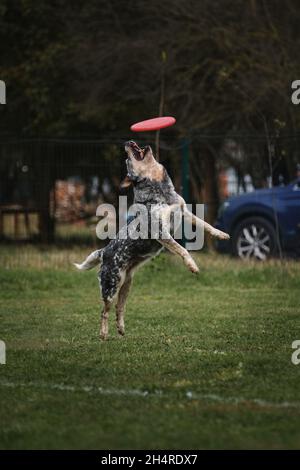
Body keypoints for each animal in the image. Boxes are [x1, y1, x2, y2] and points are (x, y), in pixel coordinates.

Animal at [75, 141, 230, 340]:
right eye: (127, 161)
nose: (127, 142)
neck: (161, 191)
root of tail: (103, 252)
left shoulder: (185, 212)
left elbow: (207, 225)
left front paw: (221, 234)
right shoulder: (160, 231)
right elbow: (182, 250)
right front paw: (192, 266)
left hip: (127, 283)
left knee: (119, 307)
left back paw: (121, 329)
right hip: (111, 285)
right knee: (104, 310)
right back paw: (103, 334)